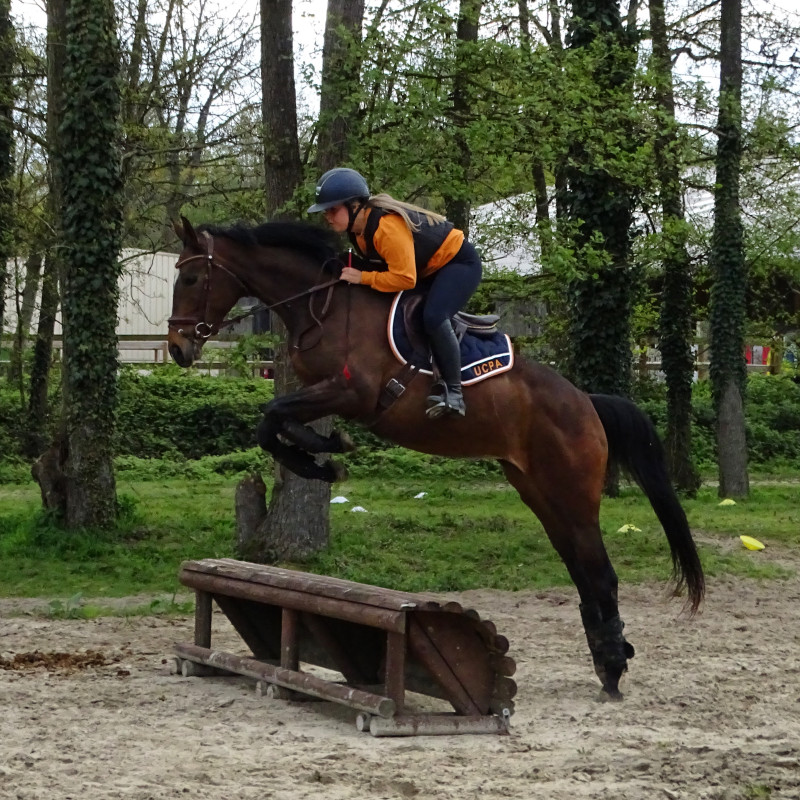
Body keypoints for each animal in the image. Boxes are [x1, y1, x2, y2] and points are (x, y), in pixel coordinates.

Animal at [167, 215, 704, 699]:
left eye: (190, 279)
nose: (176, 347)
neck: (323, 305)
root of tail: (586, 403)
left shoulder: (352, 392)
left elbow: (273, 416)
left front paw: (327, 454)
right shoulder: (323, 391)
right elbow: (273, 423)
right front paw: (324, 457)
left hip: (572, 495)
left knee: (601, 575)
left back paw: (612, 669)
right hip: (541, 495)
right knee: (583, 573)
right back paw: (607, 660)